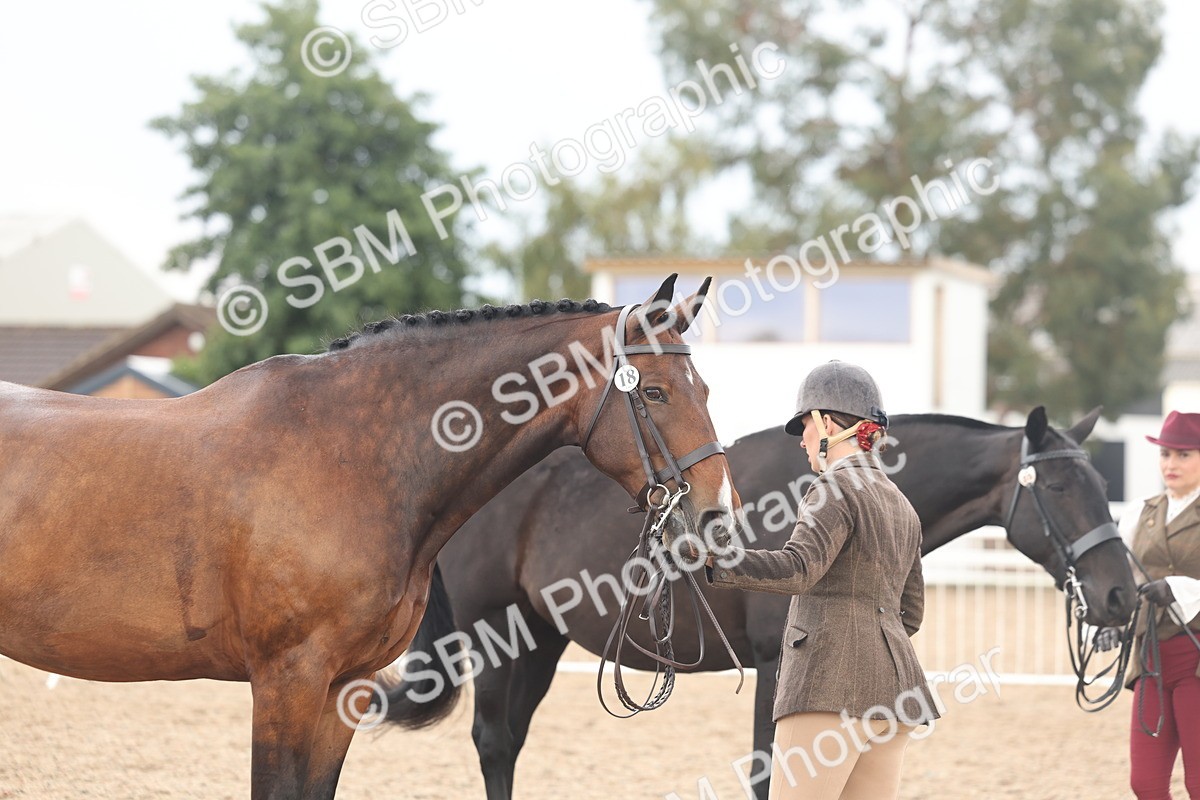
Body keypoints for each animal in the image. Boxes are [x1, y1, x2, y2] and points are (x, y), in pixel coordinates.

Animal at [0, 275, 741, 800]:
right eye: (654, 392)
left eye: (706, 387)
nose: (717, 516)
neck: (350, 455)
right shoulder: (287, 683)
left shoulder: (342, 689)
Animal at [385, 406, 1138, 800]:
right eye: (1061, 488)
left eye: (1103, 484)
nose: (1120, 594)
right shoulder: (780, 667)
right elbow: (769, 772)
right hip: (493, 632)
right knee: (492, 741)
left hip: (540, 638)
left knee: (509, 741)